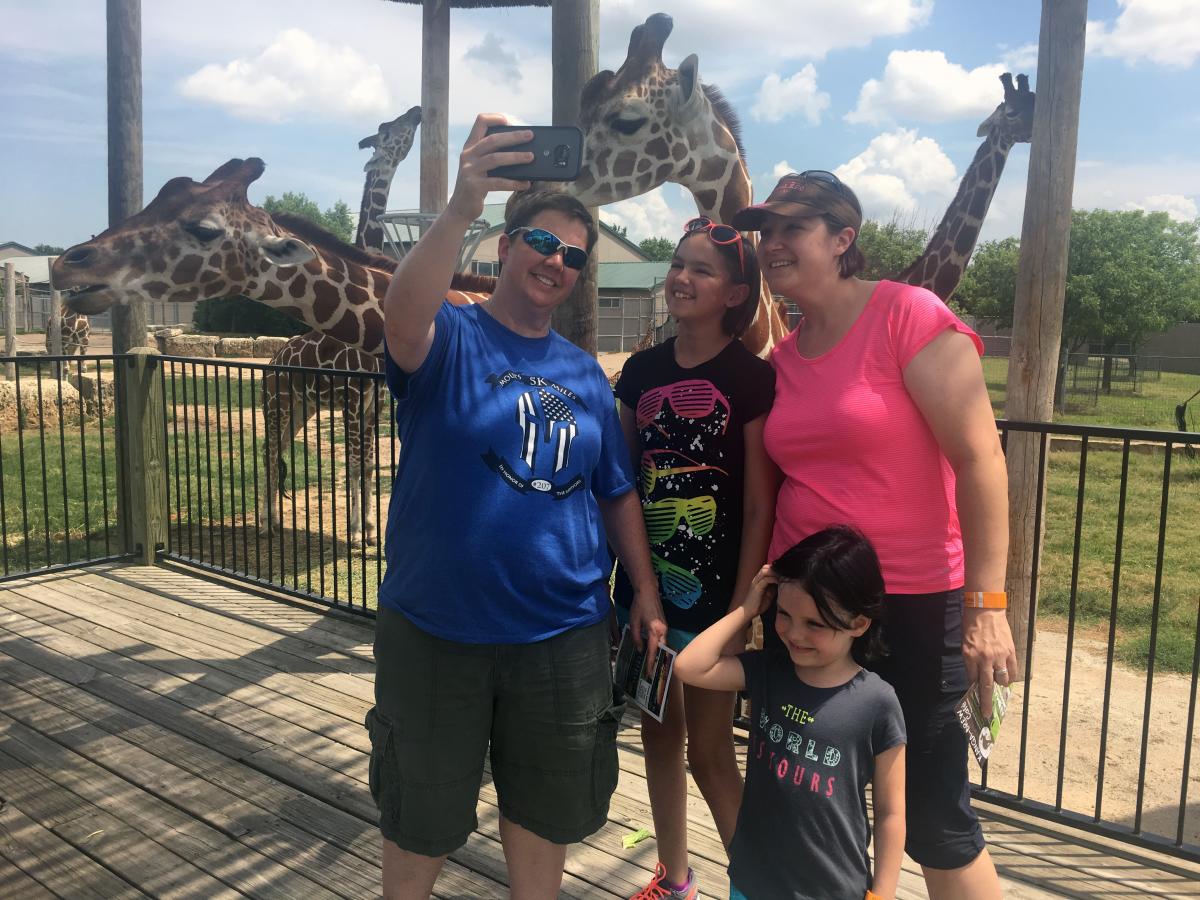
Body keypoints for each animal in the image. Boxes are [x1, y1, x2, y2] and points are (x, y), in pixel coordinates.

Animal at [259, 107, 422, 542]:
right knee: (268, 451)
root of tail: (270, 364)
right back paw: (266, 524)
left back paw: (275, 520)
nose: (417, 111)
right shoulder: (352, 395)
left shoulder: (375, 401)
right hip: (275, 403)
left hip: (302, 409)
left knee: (277, 451)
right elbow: (352, 461)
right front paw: (354, 531)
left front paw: (368, 527)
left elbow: (367, 463)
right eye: (387, 129)